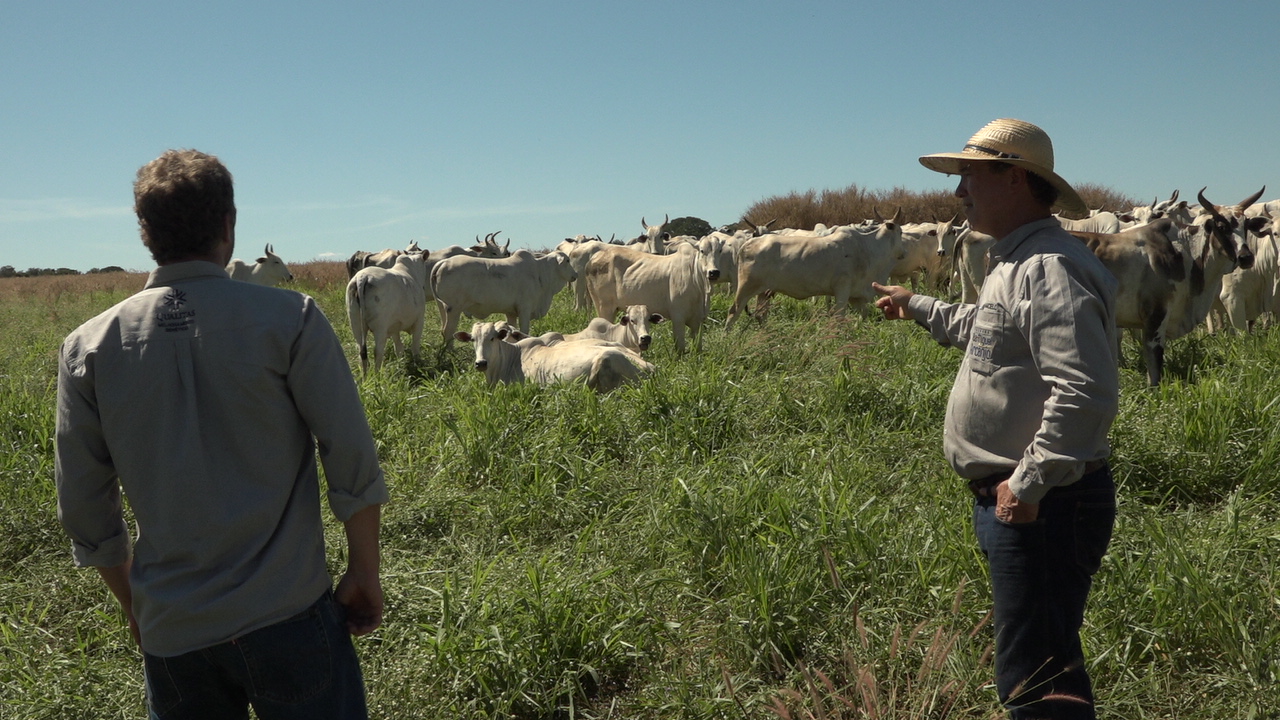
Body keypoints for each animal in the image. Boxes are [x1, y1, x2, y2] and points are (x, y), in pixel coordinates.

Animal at [430, 249, 576, 345]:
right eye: (567, 260)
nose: (576, 274)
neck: (540, 273)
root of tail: (443, 262)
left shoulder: (511, 312)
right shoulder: (525, 309)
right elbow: (524, 330)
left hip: (442, 307)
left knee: (443, 330)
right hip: (454, 309)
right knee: (449, 332)